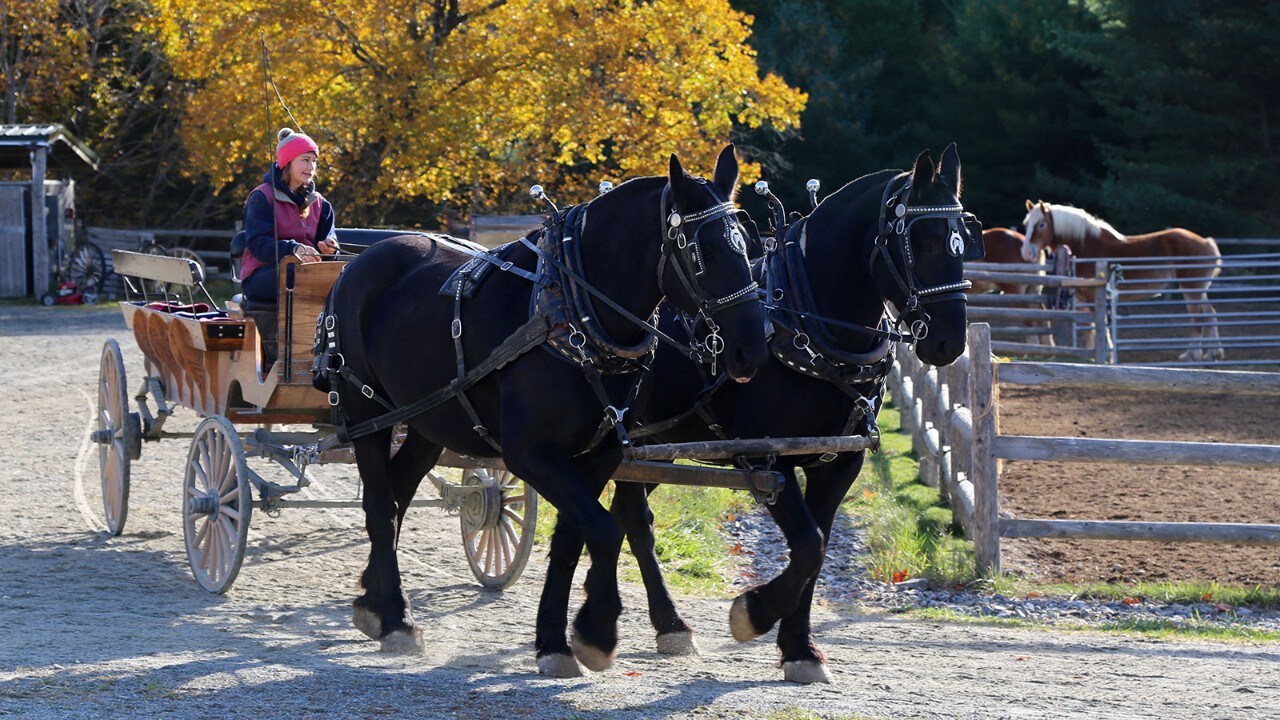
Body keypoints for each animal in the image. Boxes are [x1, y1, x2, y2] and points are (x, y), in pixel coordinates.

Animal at [330, 146, 768, 671]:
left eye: (747, 243)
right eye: (702, 252)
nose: (750, 348)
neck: (572, 313)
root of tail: (359, 262)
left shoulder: (599, 453)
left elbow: (572, 538)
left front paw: (555, 641)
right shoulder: (530, 455)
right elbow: (603, 530)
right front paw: (596, 631)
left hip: (425, 420)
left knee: (397, 494)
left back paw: (373, 601)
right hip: (364, 412)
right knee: (380, 504)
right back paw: (396, 618)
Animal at [1018, 198, 1218, 358]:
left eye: (1041, 224)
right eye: (1026, 225)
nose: (1026, 253)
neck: (1086, 245)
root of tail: (1205, 242)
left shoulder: (1093, 295)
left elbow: (1098, 324)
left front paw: (1104, 353)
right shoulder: (1083, 297)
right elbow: (1090, 326)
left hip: (1191, 289)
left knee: (1198, 319)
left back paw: (1193, 354)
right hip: (1199, 290)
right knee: (1210, 315)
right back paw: (1212, 354)